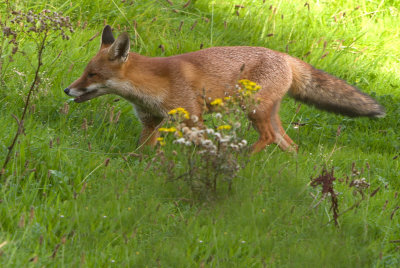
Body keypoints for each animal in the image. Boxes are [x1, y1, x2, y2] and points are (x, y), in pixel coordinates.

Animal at [65, 25, 384, 153]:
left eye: (92, 74)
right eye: (83, 72)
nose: (67, 90)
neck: (153, 87)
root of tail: (283, 56)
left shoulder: (194, 119)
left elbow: (201, 147)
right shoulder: (150, 122)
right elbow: (143, 152)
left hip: (253, 110)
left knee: (268, 138)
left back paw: (244, 159)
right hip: (268, 114)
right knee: (290, 145)